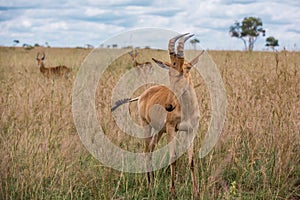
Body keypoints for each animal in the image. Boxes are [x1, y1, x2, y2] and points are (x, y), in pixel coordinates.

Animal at [112, 33, 204, 197]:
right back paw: (149, 185)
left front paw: (196, 192)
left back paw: (152, 182)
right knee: (146, 150)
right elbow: (173, 157)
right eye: (170, 73)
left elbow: (191, 160)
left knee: (151, 148)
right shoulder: (171, 129)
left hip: (159, 130)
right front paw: (173, 192)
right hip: (146, 125)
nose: (168, 106)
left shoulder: (191, 130)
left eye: (184, 71)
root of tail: (142, 94)